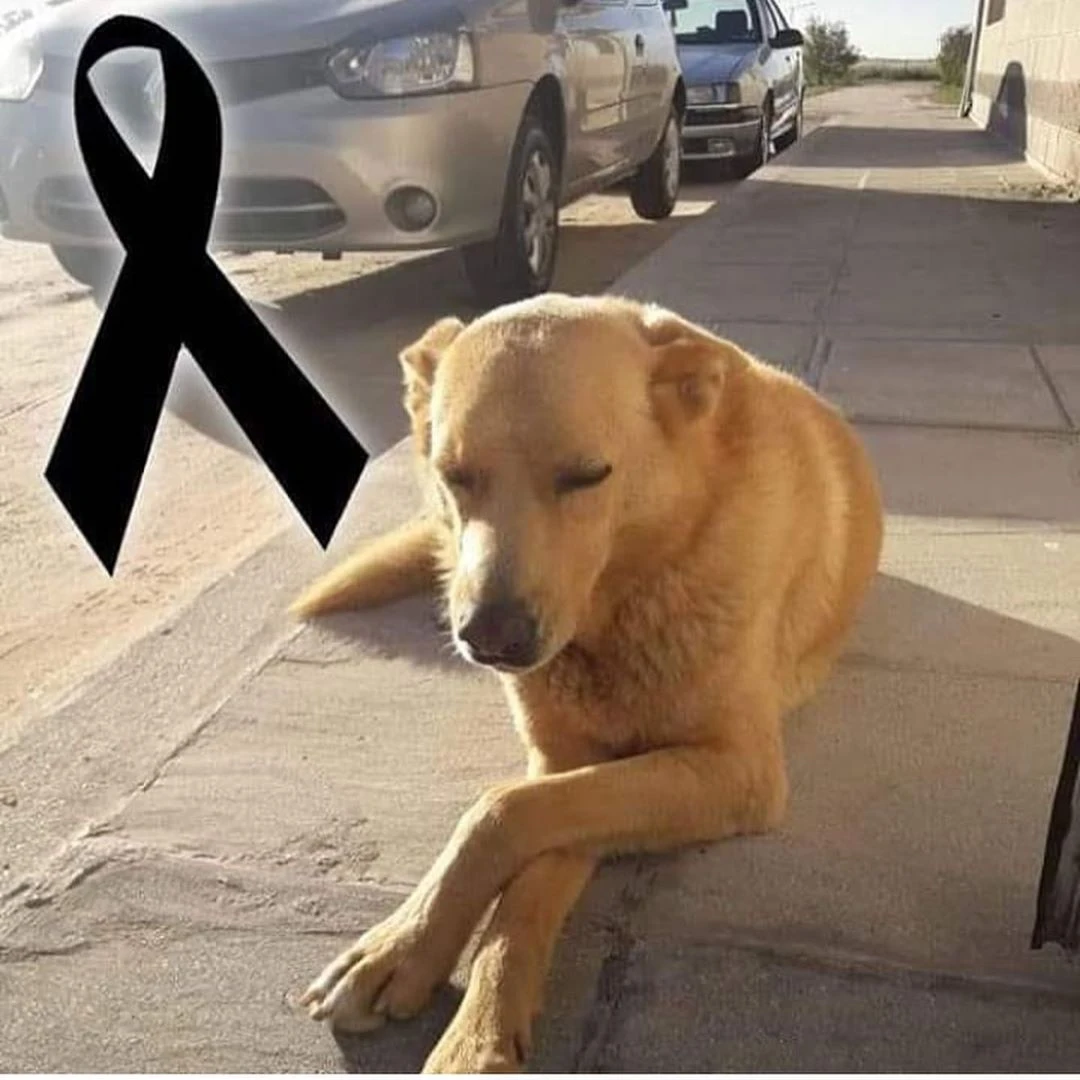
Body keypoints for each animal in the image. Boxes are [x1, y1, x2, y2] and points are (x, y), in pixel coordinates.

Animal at [293, 293, 884, 1073]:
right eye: (456, 474)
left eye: (586, 475)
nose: (490, 636)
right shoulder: (566, 761)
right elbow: (524, 843)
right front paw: (424, 965)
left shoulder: (737, 770)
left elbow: (500, 812)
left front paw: (449, 1002)